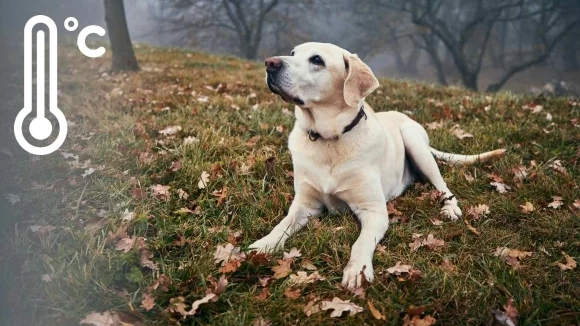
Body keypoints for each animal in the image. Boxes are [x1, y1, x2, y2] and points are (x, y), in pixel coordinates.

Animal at [249, 42, 502, 290]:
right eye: (293, 52)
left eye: (317, 60)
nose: (270, 63)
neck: (329, 139)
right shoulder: (304, 205)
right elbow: (282, 225)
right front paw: (263, 245)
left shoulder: (374, 211)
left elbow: (360, 243)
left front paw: (357, 270)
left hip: (414, 141)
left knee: (443, 186)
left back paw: (450, 208)